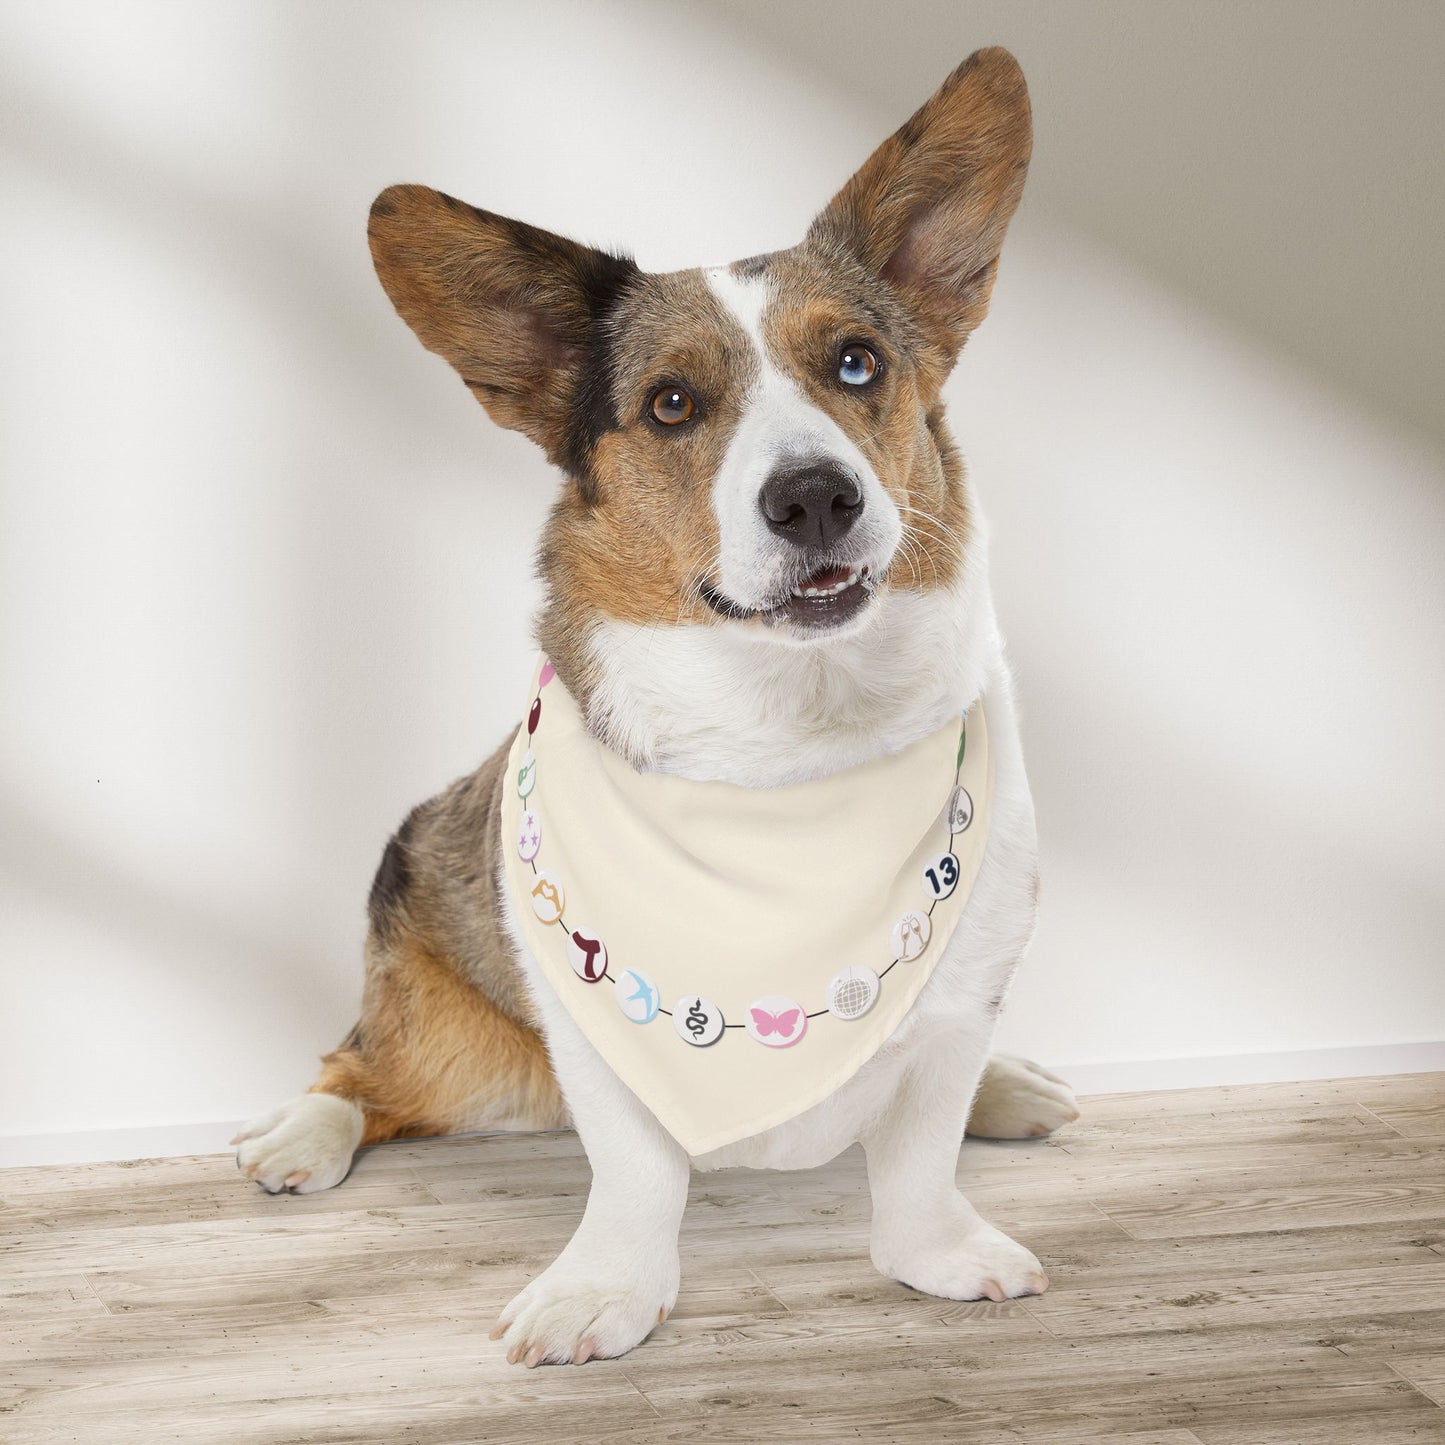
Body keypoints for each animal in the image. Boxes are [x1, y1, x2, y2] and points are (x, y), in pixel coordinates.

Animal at [234, 48, 1075, 1364]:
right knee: (359, 1067)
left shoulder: (956, 998)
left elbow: (921, 1147)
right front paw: (602, 1292)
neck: (790, 744)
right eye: (671, 404)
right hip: (454, 1048)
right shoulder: (594, 1039)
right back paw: (299, 1134)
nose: (816, 498)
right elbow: (632, 1174)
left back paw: (1009, 1087)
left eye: (856, 363)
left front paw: (940, 1248)